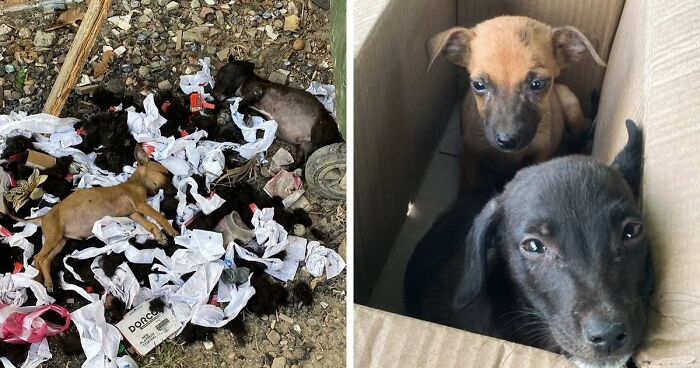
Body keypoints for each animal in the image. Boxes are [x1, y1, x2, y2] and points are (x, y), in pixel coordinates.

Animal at [5, 145, 178, 292]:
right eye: (164, 174)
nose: (176, 191)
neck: (137, 183)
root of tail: (44, 216)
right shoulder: (140, 204)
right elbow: (158, 216)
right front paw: (170, 230)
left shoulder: (134, 213)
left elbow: (151, 225)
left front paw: (160, 236)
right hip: (54, 237)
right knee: (38, 257)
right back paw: (40, 280)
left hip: (60, 241)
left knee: (44, 260)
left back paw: (44, 281)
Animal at [426, 16, 608, 190]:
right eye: (478, 85)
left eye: (538, 84)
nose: (507, 141)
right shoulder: (467, 152)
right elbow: (466, 186)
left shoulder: (541, 152)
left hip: (571, 105)